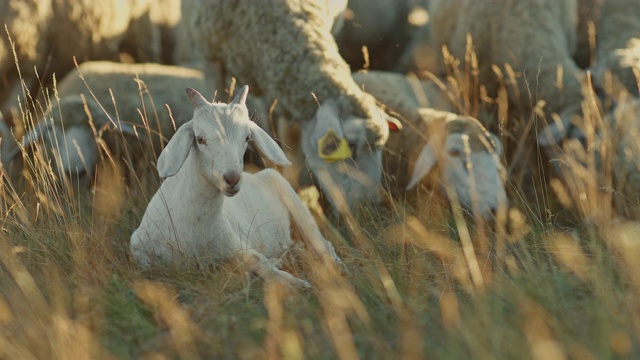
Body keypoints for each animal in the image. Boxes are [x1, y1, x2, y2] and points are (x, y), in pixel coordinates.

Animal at [129, 86, 344, 288]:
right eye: (200, 139)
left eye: (247, 138)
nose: (232, 179)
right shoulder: (138, 250)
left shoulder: (239, 245)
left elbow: (262, 264)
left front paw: (296, 283)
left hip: (296, 205)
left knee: (323, 246)